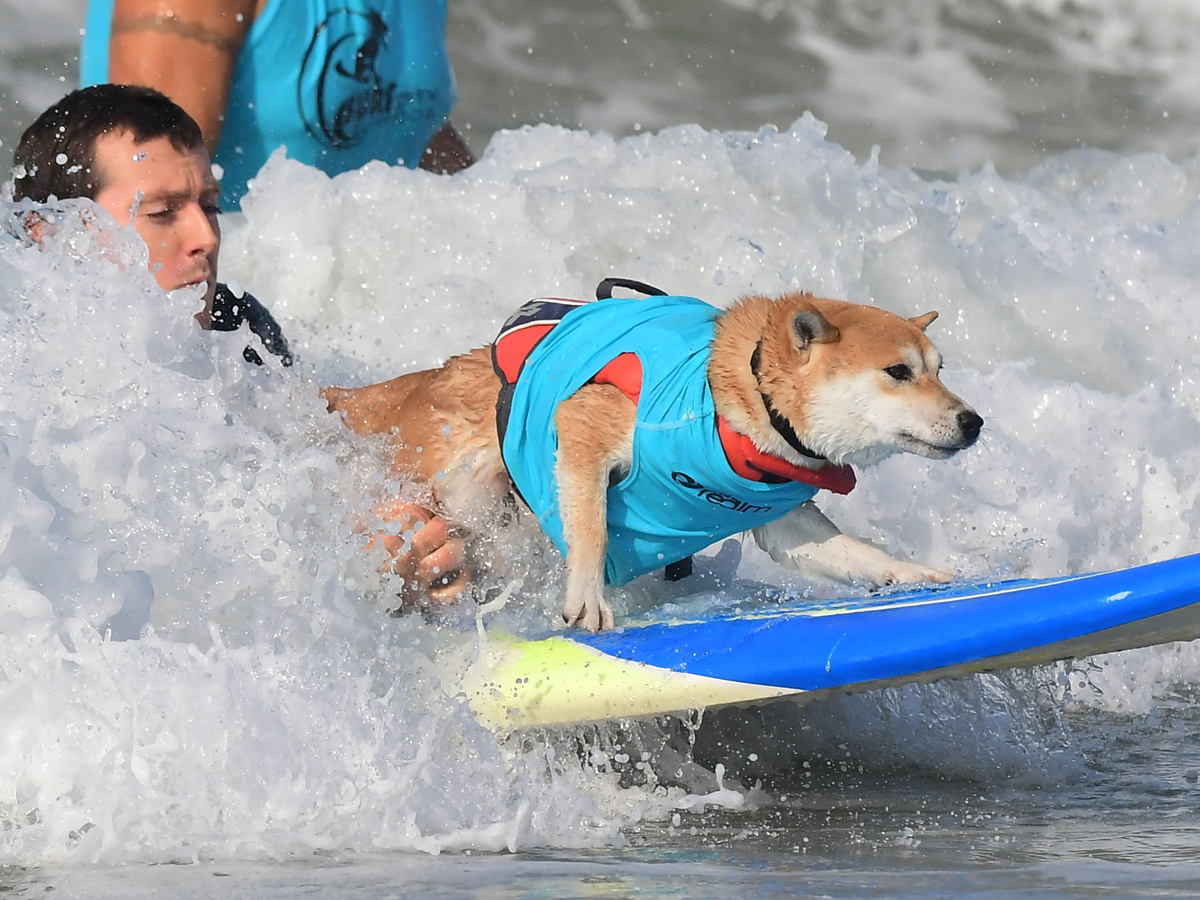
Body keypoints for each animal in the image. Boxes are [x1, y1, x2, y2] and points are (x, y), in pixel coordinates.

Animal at [324, 282, 979, 633]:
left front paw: (910, 574)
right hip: (461, 484)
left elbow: (854, 554)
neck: (726, 402)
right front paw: (587, 597)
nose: (973, 422)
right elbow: (590, 530)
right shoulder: (586, 428)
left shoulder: (783, 522)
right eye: (898, 372)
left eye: (940, 368)